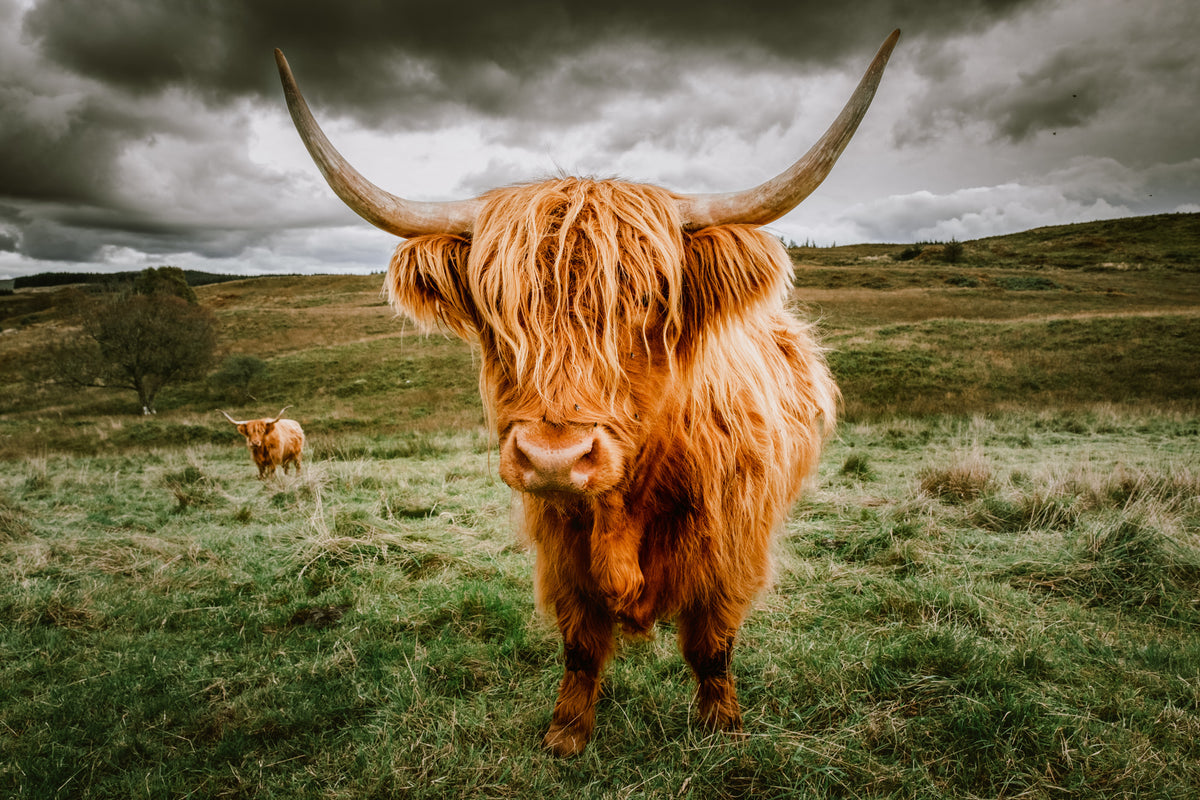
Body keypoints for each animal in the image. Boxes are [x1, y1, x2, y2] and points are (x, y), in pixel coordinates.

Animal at [275, 29, 899, 756]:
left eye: (651, 306)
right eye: (496, 314)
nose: (553, 459)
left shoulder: (731, 552)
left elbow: (711, 645)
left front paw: (721, 725)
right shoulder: (561, 556)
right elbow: (579, 646)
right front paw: (566, 733)